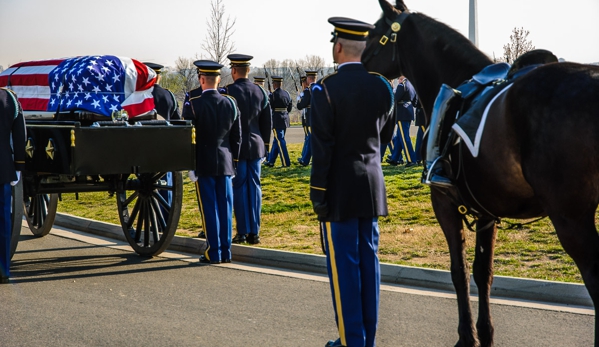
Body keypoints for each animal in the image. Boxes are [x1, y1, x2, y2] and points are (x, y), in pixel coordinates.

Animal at [360, 1, 599, 346]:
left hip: (570, 218)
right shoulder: (486, 211)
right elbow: (482, 271)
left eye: (376, 32)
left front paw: (467, 336)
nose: (358, 62)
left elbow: (458, 271)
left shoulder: (444, 203)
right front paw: (485, 333)